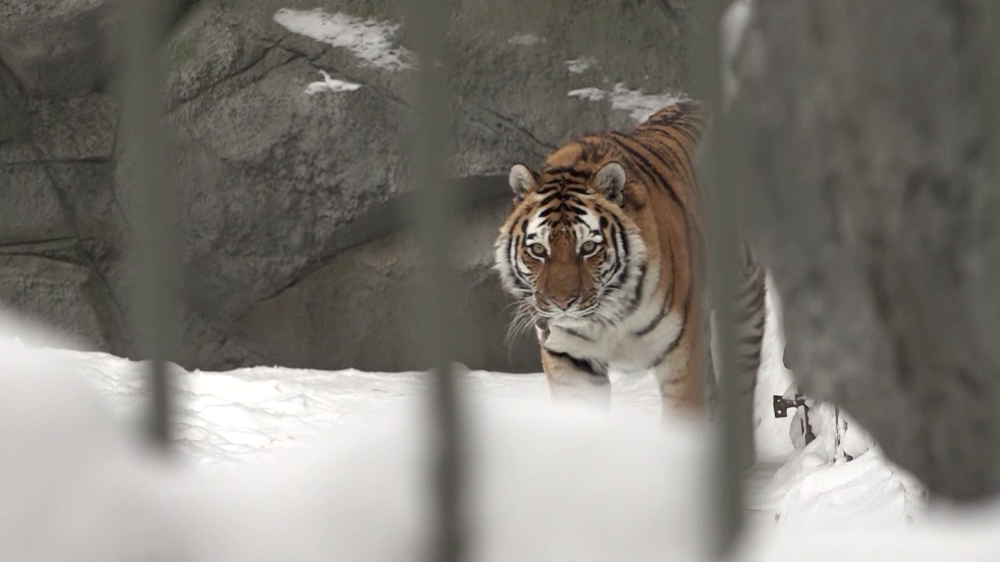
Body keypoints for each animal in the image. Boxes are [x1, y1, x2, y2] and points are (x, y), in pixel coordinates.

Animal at [494, 100, 764, 464]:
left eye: (588, 248)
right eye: (538, 250)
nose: (562, 304)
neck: (608, 317)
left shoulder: (681, 356)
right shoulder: (569, 356)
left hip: (743, 298)